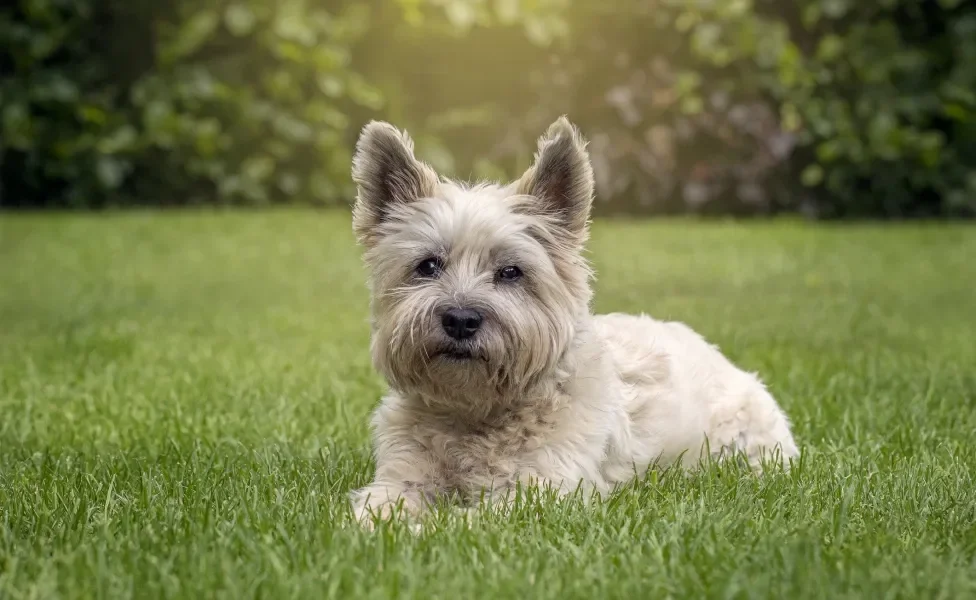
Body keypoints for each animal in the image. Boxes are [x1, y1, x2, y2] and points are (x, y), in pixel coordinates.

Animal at [346, 117, 796, 524]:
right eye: (427, 266)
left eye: (511, 272)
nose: (460, 319)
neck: (476, 411)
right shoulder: (401, 474)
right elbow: (381, 503)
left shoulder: (543, 489)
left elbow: (468, 522)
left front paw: (425, 530)